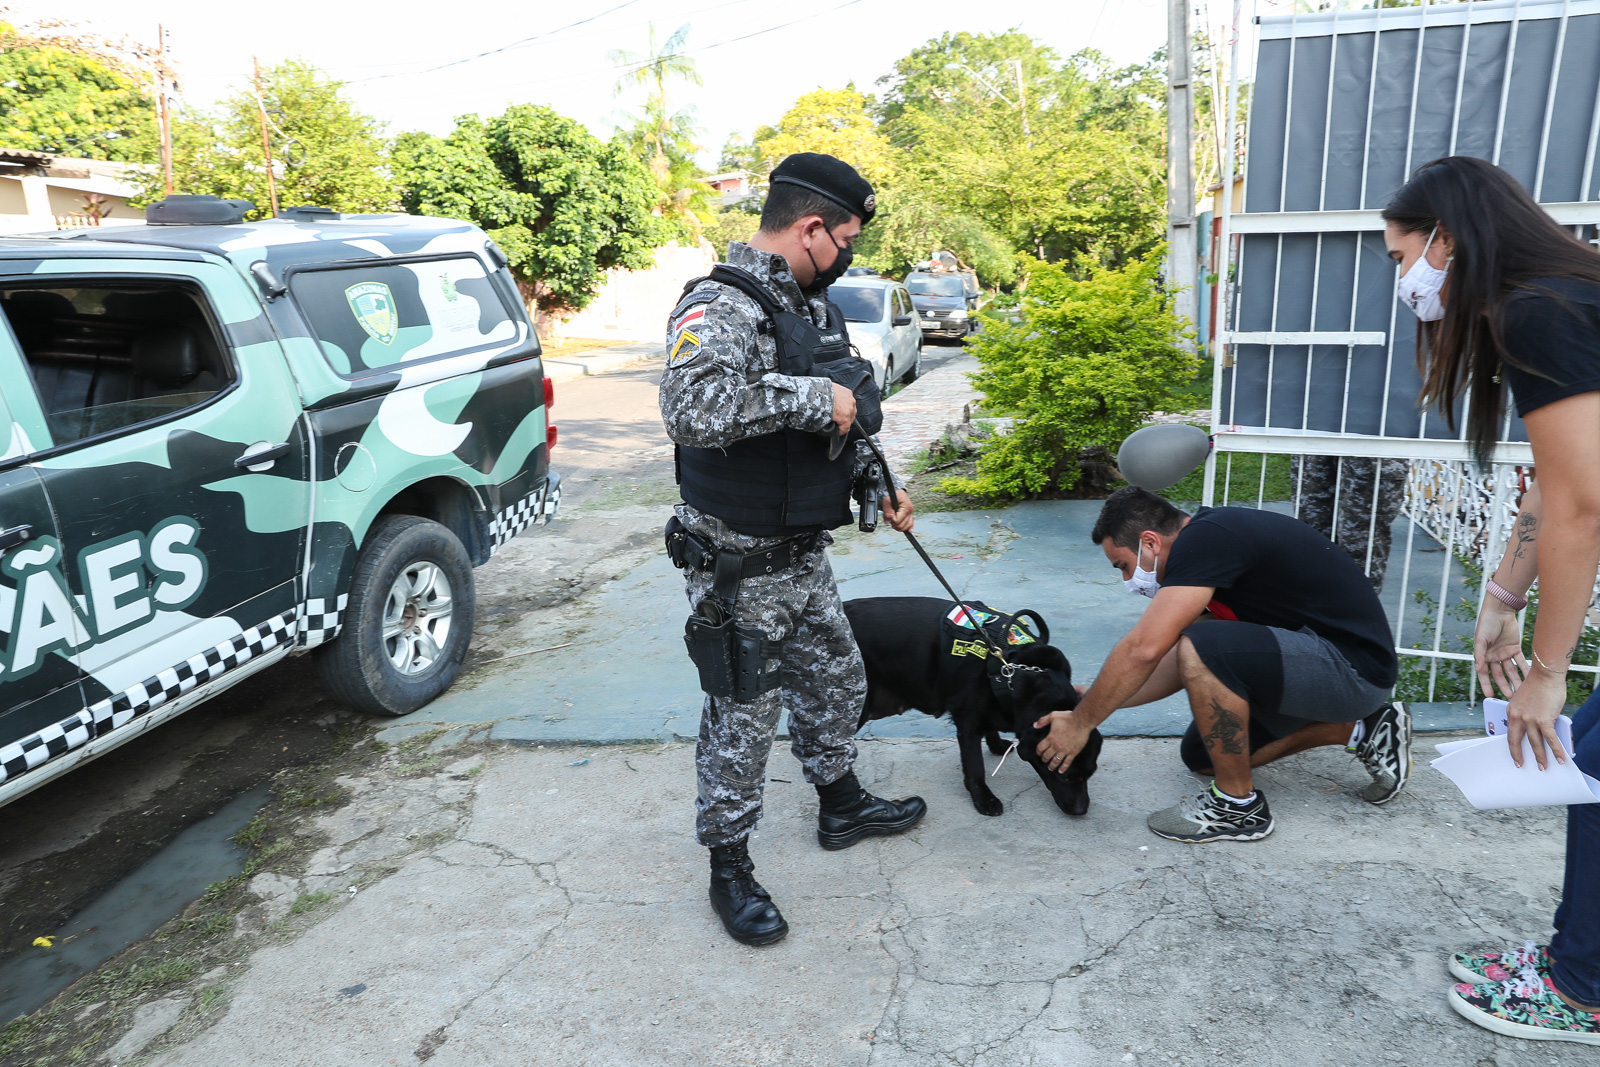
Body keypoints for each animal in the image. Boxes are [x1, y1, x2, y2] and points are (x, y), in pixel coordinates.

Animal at [844, 596, 1103, 817]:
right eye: (1065, 775)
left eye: (1089, 774)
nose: (1081, 810)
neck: (1016, 670)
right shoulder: (967, 723)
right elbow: (975, 766)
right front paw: (984, 798)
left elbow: (991, 728)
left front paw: (996, 745)